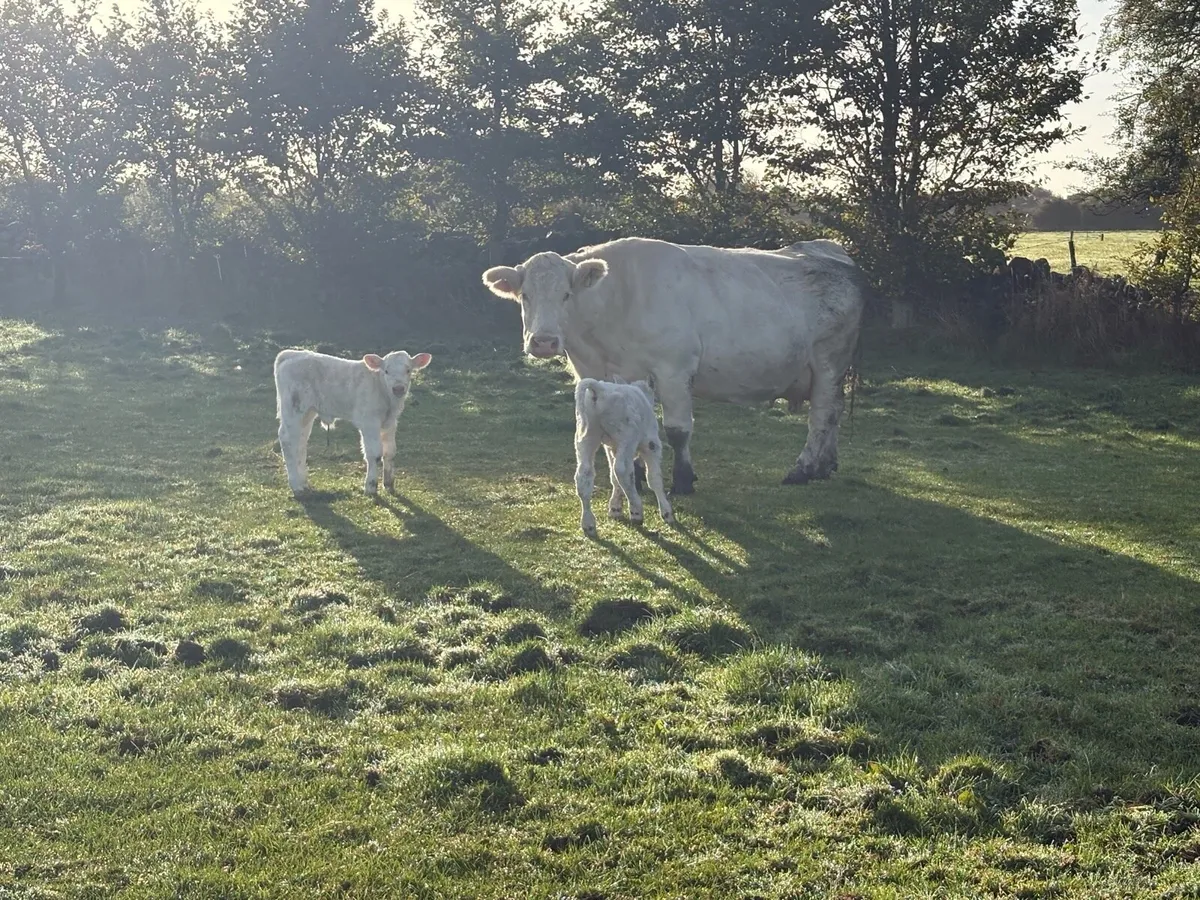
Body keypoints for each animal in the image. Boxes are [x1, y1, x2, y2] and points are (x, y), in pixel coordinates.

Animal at [482, 236, 866, 492]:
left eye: (566, 295)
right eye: (525, 296)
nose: (544, 341)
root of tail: (833, 252)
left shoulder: (674, 369)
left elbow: (678, 430)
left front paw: (682, 480)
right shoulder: (610, 373)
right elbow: (631, 424)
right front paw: (635, 475)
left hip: (828, 360)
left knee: (821, 417)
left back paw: (804, 468)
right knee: (832, 413)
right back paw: (826, 465)